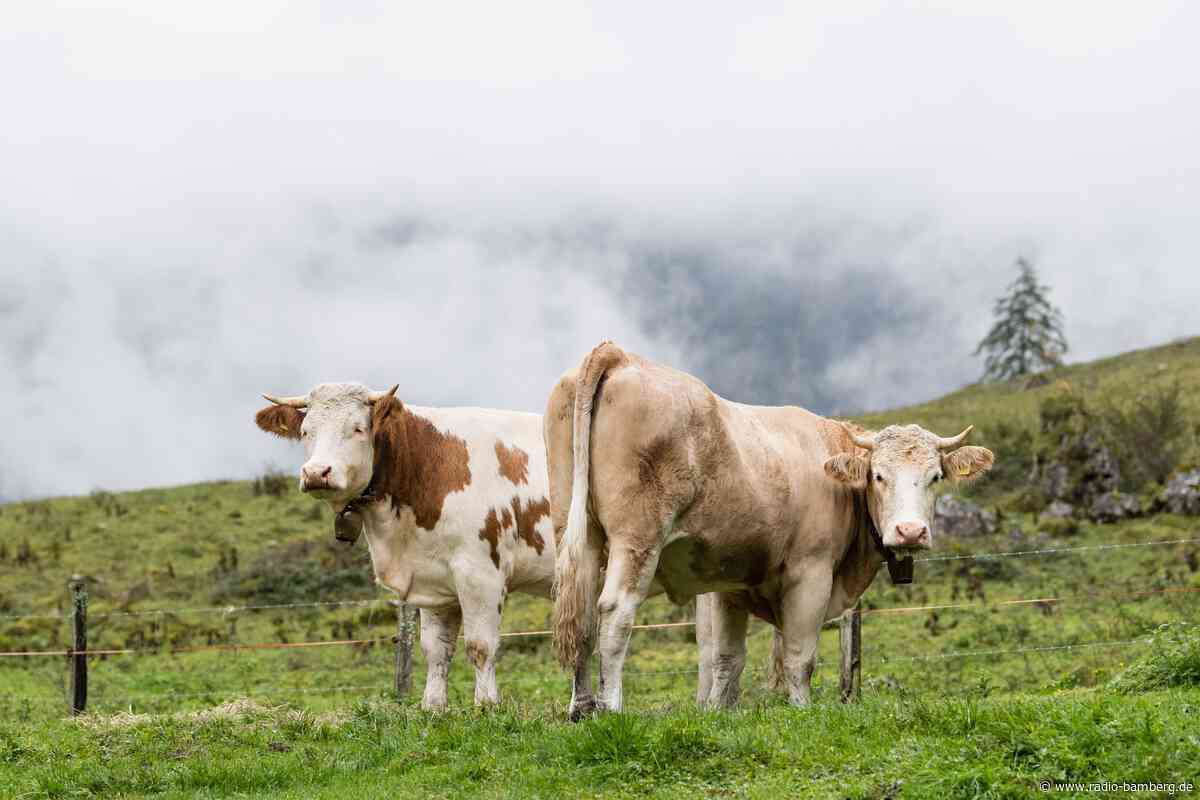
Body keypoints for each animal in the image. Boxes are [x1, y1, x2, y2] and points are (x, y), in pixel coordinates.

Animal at [255, 383, 555, 709]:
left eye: (358, 428)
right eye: (306, 431)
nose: (316, 472)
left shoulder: (481, 573)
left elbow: (480, 646)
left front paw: (487, 706)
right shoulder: (435, 580)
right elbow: (436, 649)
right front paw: (433, 707)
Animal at [546, 343, 994, 718]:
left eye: (936, 477)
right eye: (878, 476)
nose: (910, 531)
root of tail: (619, 354)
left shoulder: (728, 584)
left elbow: (727, 659)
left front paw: (720, 715)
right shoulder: (811, 573)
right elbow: (799, 656)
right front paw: (801, 711)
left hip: (578, 532)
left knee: (582, 614)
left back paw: (581, 708)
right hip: (637, 538)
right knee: (615, 611)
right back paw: (611, 709)